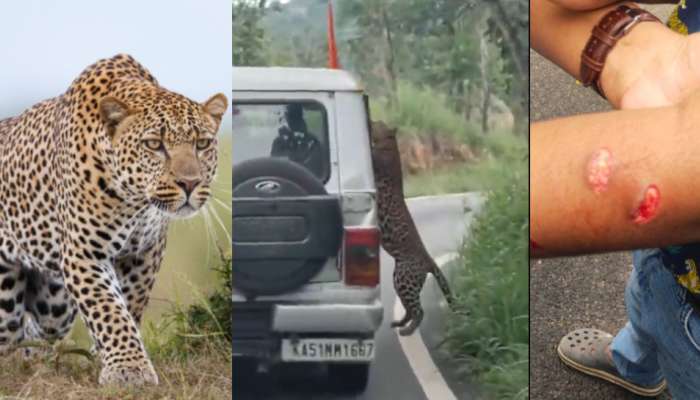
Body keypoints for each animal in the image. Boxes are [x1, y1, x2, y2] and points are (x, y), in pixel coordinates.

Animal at [0, 54, 227, 385]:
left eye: (202, 144)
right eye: (154, 145)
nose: (190, 183)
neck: (134, 200)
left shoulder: (144, 253)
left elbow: (129, 305)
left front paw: (108, 358)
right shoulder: (85, 254)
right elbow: (108, 309)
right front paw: (128, 368)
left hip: (53, 304)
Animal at [370, 120, 455, 336]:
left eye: (380, 124)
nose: (373, 122)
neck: (390, 145)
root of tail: (428, 259)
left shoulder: (377, 161)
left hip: (405, 278)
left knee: (419, 310)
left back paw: (407, 330)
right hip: (398, 279)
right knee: (409, 308)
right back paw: (400, 323)